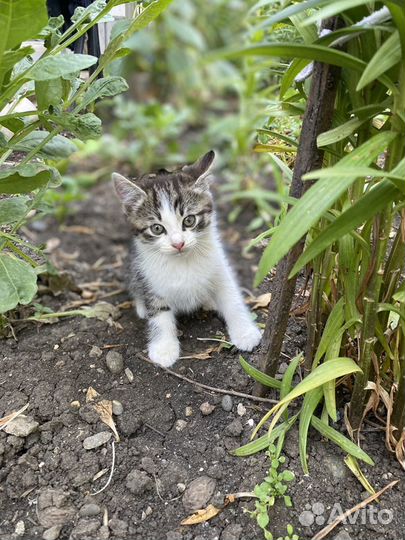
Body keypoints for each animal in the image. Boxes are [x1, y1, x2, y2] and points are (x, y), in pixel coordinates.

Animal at [112, 151, 260, 368]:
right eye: (157, 228)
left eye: (189, 220)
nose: (178, 243)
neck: (183, 262)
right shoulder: (150, 278)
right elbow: (160, 313)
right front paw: (164, 348)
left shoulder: (219, 266)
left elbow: (231, 297)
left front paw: (245, 332)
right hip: (133, 266)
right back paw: (141, 306)